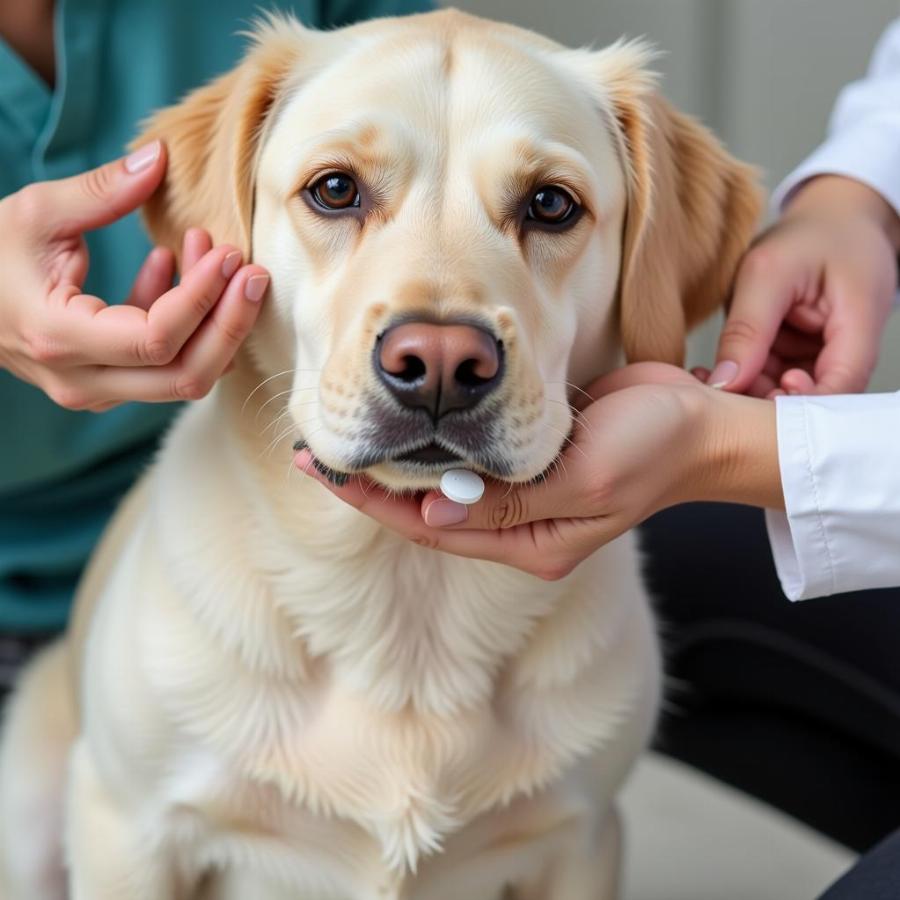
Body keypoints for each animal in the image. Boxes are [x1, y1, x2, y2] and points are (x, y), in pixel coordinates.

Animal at [0, 8, 760, 900]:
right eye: (335, 189)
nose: (439, 365)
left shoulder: (582, 836)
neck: (408, 594)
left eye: (551, 204)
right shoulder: (130, 828)